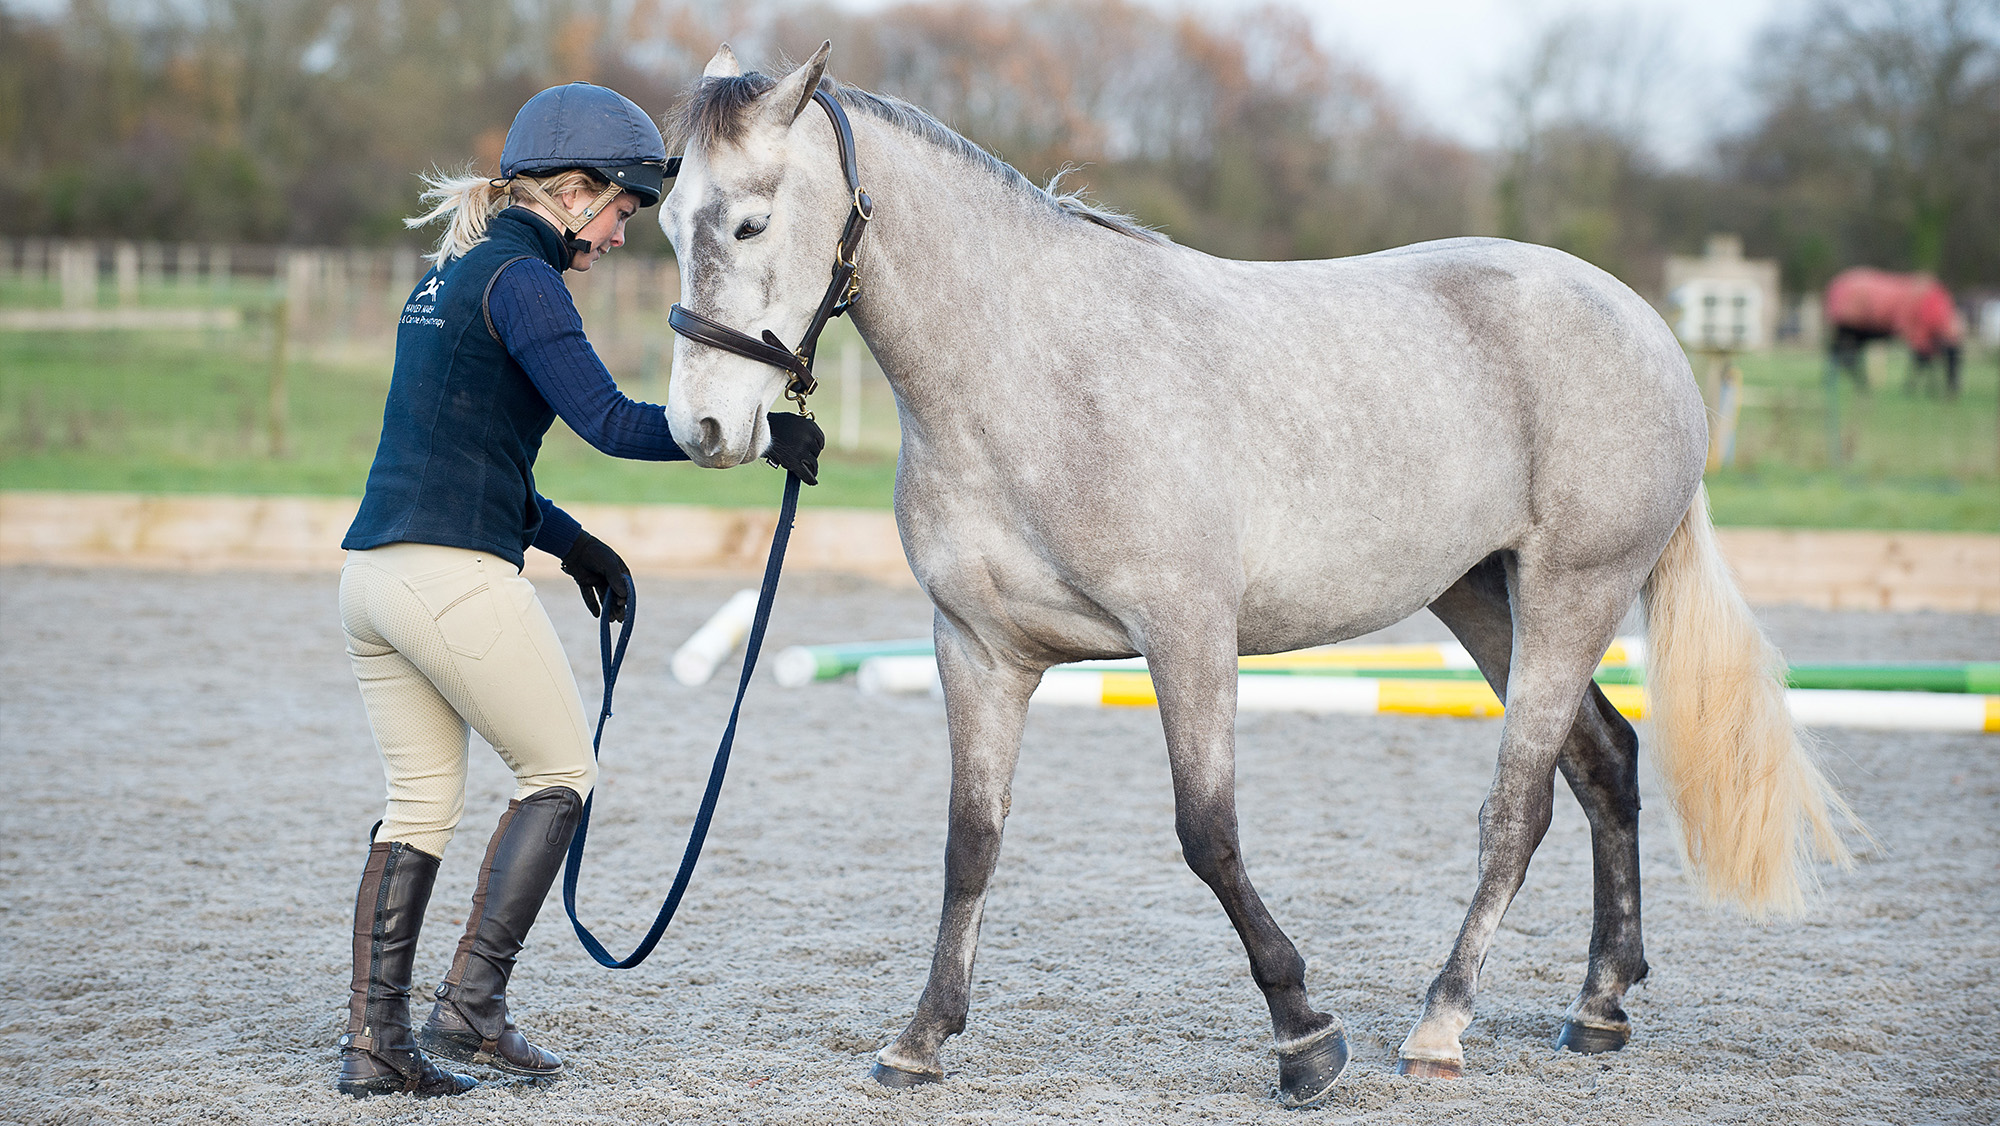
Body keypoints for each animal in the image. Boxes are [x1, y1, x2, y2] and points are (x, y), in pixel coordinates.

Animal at [658, 43, 1859, 1107]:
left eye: (751, 220)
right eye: (668, 220)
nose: (702, 428)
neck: (1033, 378)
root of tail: (1646, 327)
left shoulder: (1188, 637)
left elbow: (1208, 834)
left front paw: (1304, 1038)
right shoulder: (979, 651)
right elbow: (971, 842)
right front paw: (918, 1042)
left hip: (1573, 590)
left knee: (1517, 806)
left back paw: (1439, 1025)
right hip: (1482, 595)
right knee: (1604, 760)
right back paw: (1598, 1005)